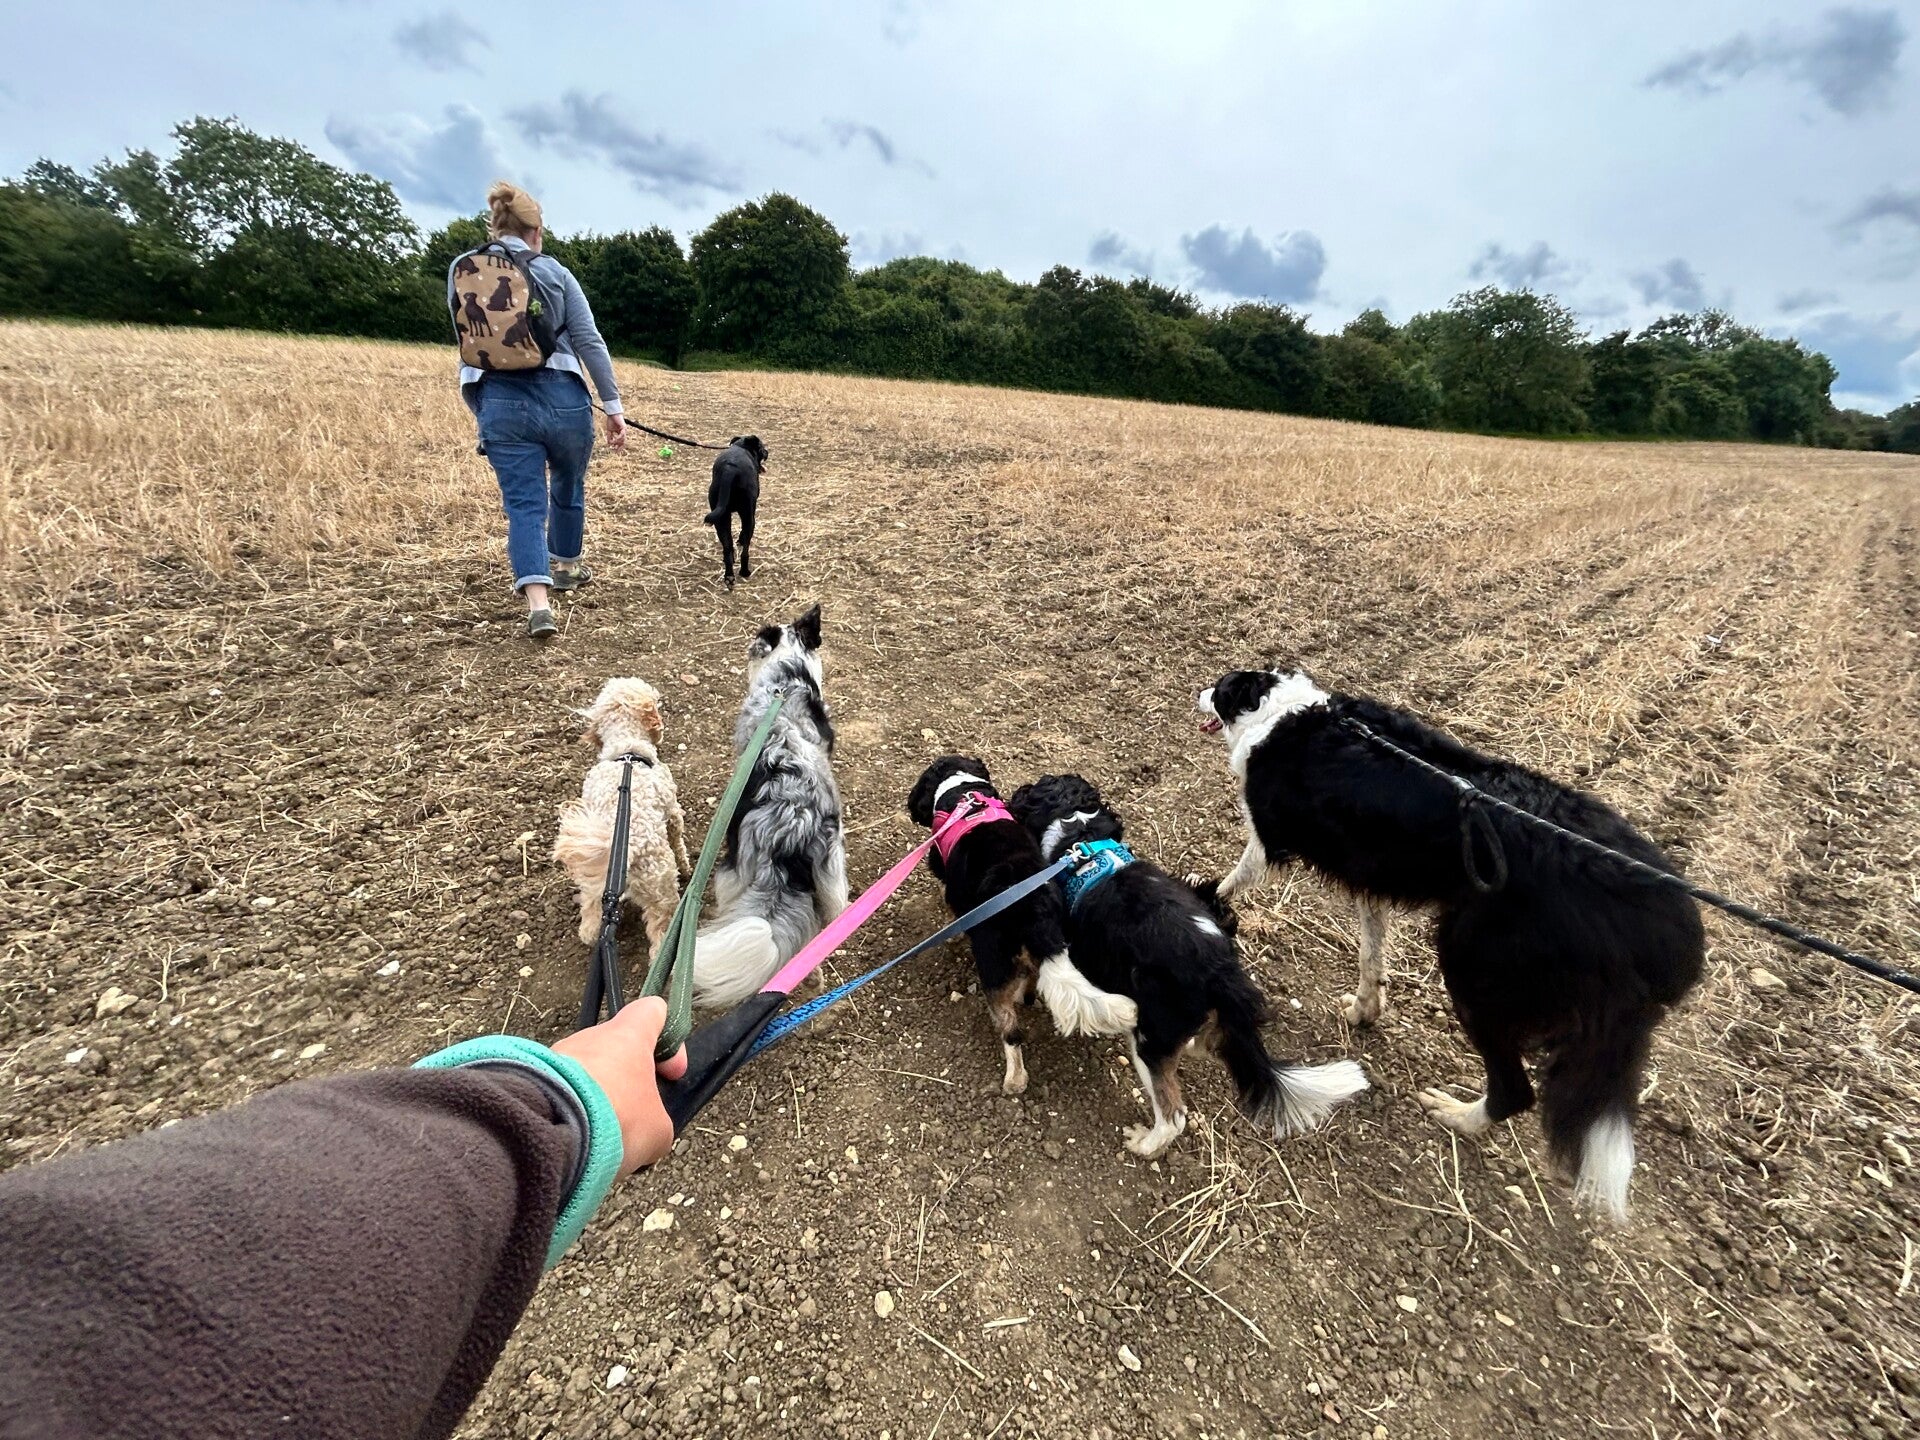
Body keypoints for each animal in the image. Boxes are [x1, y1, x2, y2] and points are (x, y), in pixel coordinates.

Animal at [552, 678, 693, 956]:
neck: (627, 750)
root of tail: (625, 851)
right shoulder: (672, 810)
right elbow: (678, 840)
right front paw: (686, 867)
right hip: (660, 888)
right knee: (661, 932)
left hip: (594, 884)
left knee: (590, 916)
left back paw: (591, 935)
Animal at [705, 436, 768, 589]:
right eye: (762, 447)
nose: (767, 452)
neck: (741, 447)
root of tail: (730, 469)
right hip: (748, 516)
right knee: (745, 549)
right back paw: (745, 571)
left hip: (721, 519)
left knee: (727, 548)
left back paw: (729, 577)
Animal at [907, 757, 1138, 1095]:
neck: (962, 790)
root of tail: (1034, 910)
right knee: (1032, 979)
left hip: (993, 967)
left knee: (1011, 1031)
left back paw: (1014, 1081)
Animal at [1196, 667, 1706, 1219]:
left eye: (1218, 689)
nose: (1196, 692)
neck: (1279, 711)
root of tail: (1667, 923)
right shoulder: (1371, 874)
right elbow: (1371, 949)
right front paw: (1365, 1009)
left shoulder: (1269, 839)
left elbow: (1234, 877)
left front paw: (1207, 901)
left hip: (1473, 969)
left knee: (1516, 1091)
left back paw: (1456, 1115)